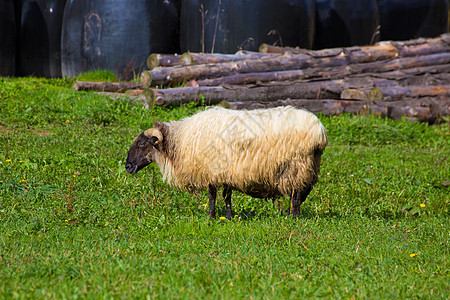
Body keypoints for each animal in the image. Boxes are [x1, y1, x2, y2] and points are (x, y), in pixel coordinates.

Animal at [125, 106, 328, 219]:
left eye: (142, 144)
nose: (127, 166)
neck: (179, 141)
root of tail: (320, 131)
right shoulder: (225, 171)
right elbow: (226, 196)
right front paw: (228, 217)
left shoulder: (212, 170)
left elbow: (213, 196)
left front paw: (211, 217)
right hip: (308, 166)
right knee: (301, 194)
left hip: (297, 166)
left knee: (296, 194)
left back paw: (293, 217)